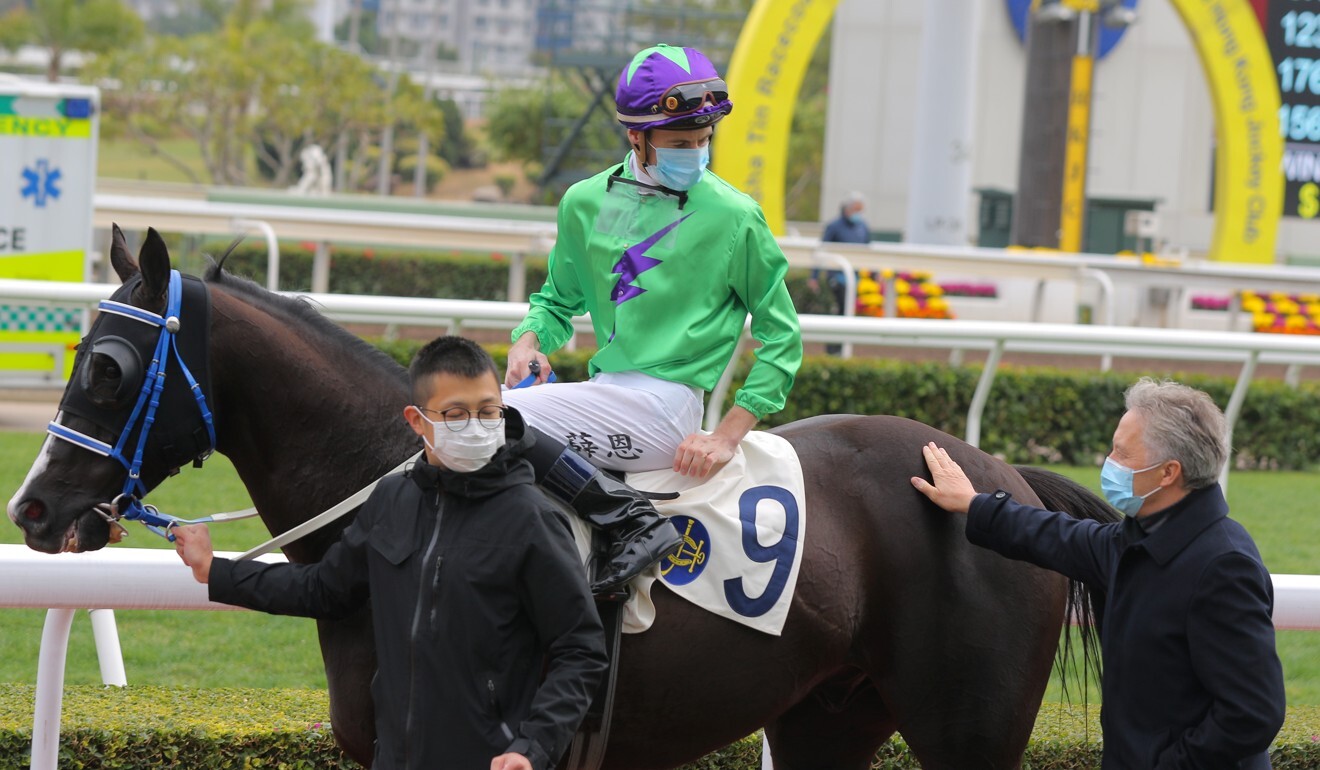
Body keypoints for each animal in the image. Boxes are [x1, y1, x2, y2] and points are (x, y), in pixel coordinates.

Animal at [7, 228, 1114, 770]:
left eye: (105, 365)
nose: (31, 511)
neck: (405, 478)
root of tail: (1000, 475)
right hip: (826, 718)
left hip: (969, 730)